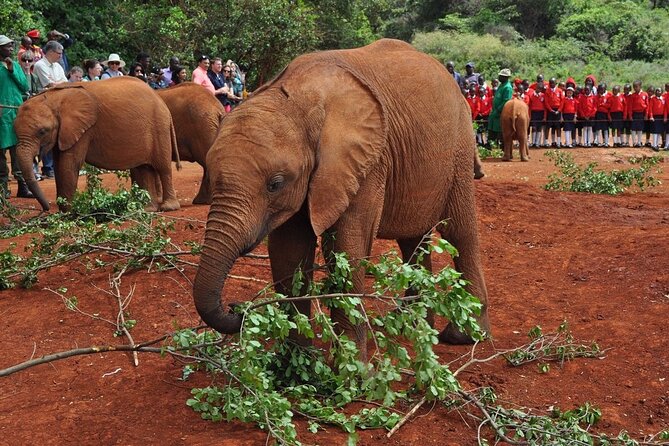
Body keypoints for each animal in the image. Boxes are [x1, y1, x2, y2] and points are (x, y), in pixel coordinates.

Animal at [14, 76, 181, 212]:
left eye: (42, 132)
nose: (45, 209)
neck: (54, 97)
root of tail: (160, 99)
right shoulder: (65, 133)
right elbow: (60, 164)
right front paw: (64, 213)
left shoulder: (83, 130)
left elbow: (69, 164)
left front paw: (70, 213)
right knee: (144, 168)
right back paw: (146, 209)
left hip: (159, 127)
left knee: (163, 168)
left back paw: (168, 208)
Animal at [193, 39, 490, 360]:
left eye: (275, 184)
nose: (237, 309)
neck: (298, 99)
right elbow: (289, 251)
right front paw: (294, 363)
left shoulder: (368, 162)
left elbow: (348, 247)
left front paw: (351, 368)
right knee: (413, 239)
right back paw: (412, 326)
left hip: (460, 146)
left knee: (459, 231)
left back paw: (463, 336)